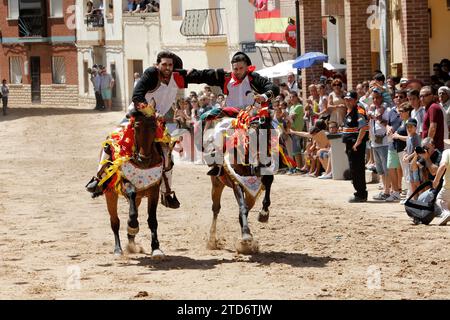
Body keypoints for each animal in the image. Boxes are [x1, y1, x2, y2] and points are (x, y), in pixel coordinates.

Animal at [103, 112, 167, 258]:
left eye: (154, 127)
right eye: (136, 127)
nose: (144, 158)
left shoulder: (154, 190)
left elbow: (152, 219)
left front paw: (156, 248)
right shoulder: (125, 183)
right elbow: (131, 207)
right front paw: (132, 226)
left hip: (138, 198)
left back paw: (131, 243)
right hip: (110, 194)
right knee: (115, 221)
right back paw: (118, 249)